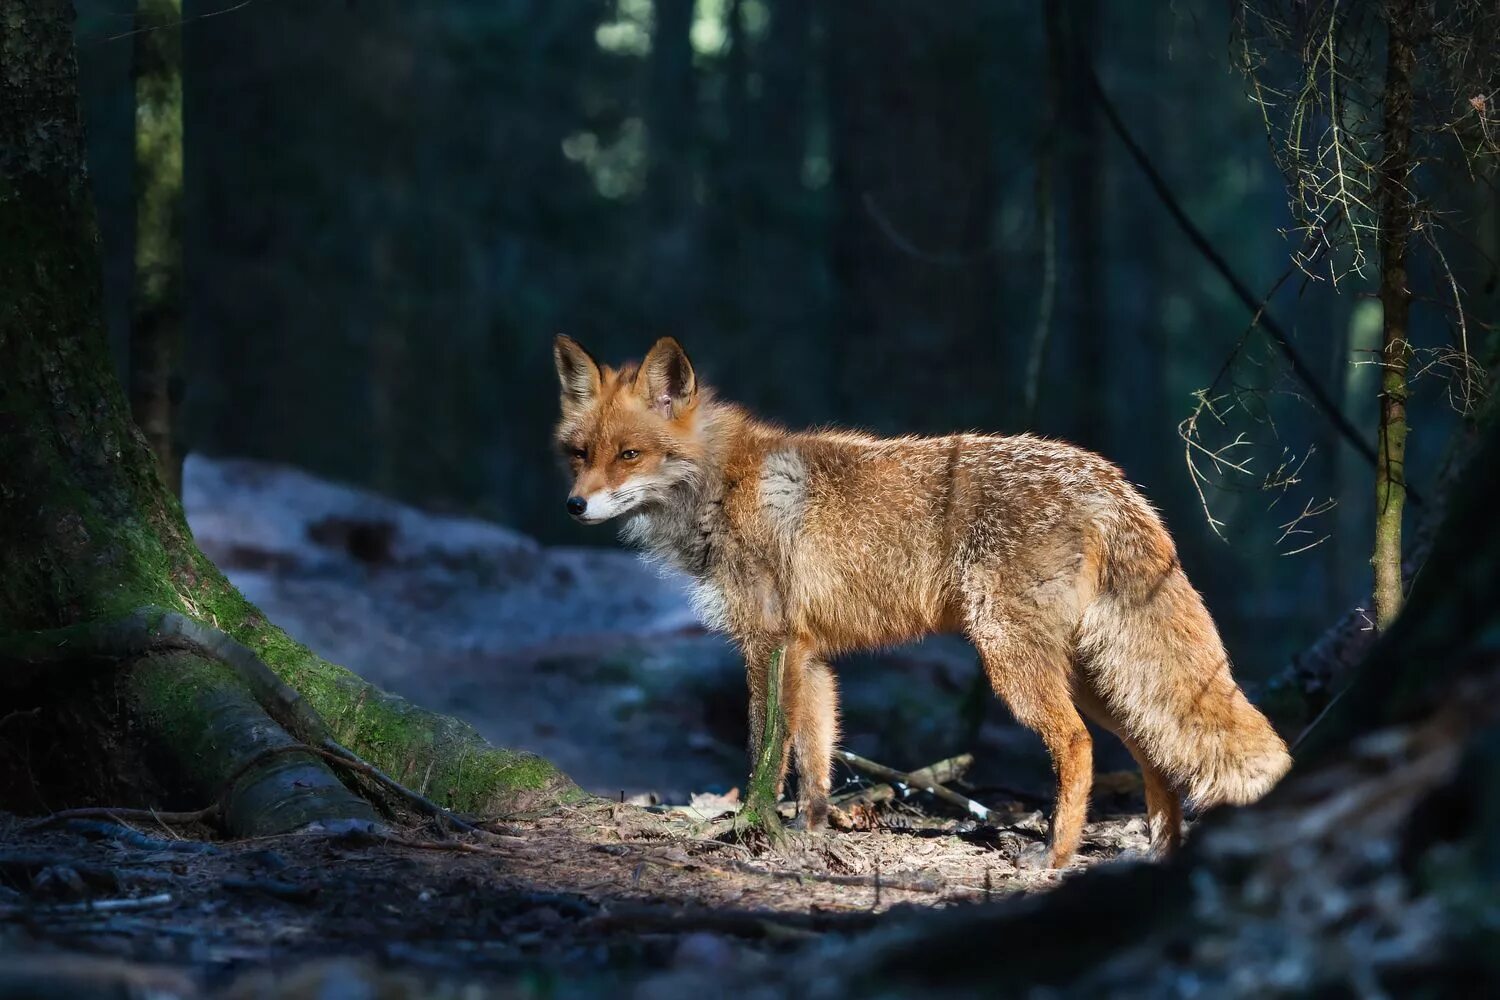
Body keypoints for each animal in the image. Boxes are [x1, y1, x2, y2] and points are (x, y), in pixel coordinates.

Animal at [552, 335, 1290, 869]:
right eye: (579, 454)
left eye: (629, 454)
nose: (574, 506)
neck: (723, 485)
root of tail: (1108, 476)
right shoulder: (809, 655)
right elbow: (815, 763)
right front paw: (815, 839)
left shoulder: (769, 645)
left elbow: (766, 751)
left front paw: (753, 828)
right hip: (1097, 680)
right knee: (1154, 756)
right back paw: (1161, 857)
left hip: (1017, 664)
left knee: (1079, 747)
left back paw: (1055, 856)